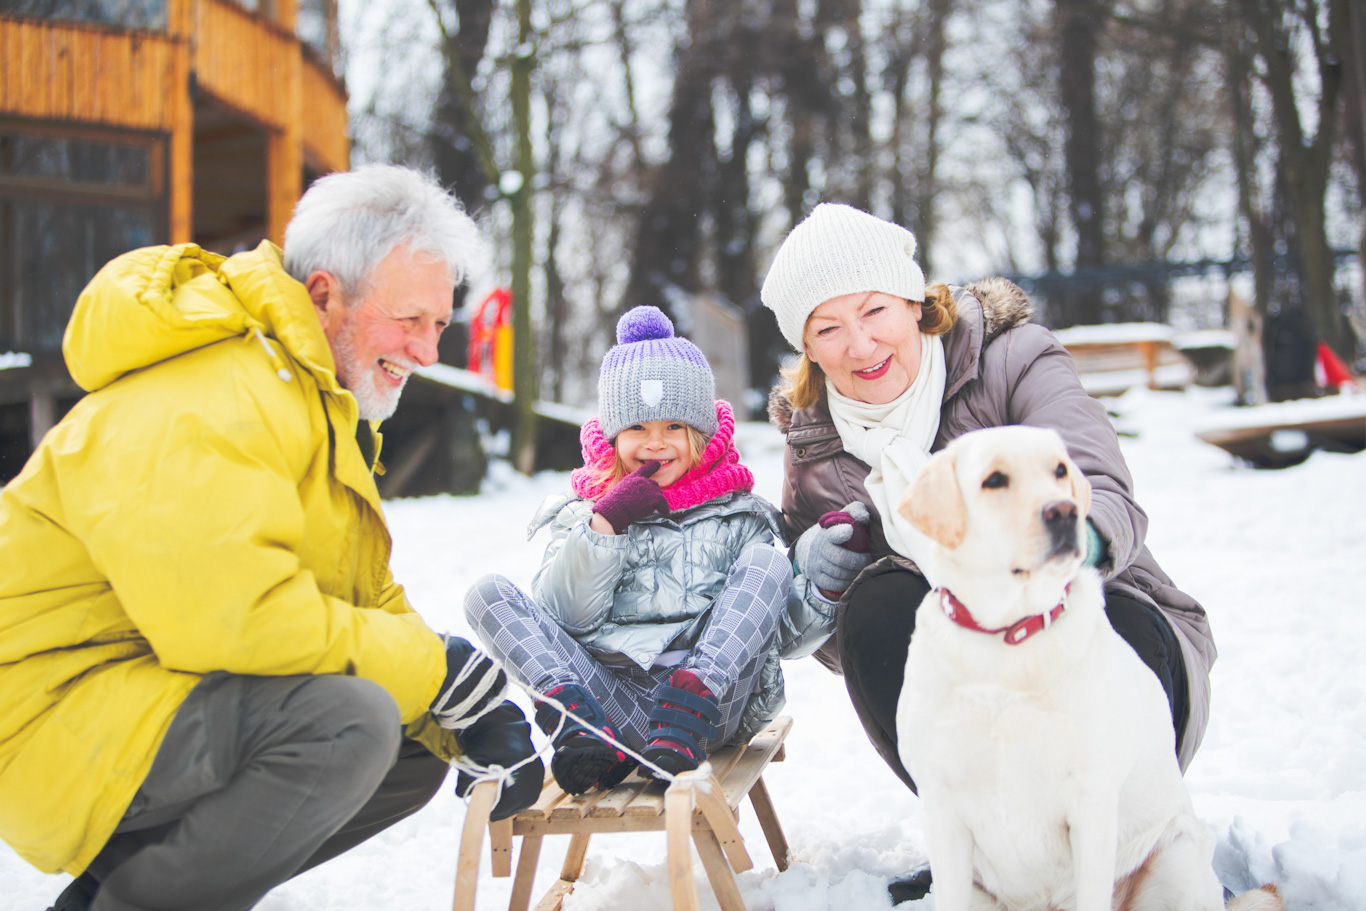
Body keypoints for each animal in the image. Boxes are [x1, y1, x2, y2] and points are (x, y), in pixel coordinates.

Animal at [896, 428, 1278, 911]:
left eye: (1060, 470)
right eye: (994, 479)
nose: (1065, 511)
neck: (1009, 635)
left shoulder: (1091, 802)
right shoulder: (942, 805)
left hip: (1177, 856)